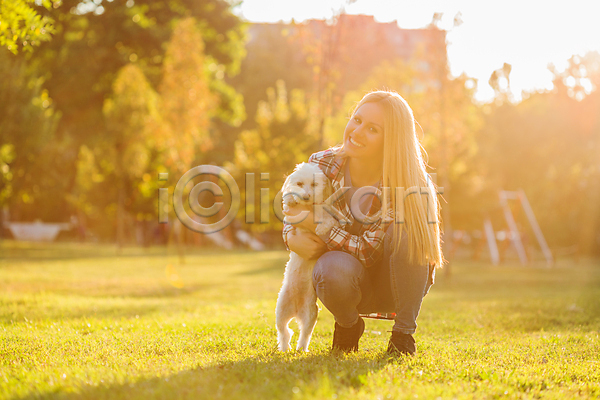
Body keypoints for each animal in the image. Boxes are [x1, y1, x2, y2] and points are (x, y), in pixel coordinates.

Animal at [276, 161, 338, 352]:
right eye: (299, 184)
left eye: (314, 184)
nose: (304, 196)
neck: (309, 206)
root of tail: (295, 309)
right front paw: (290, 198)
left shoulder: (327, 213)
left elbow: (328, 219)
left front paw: (322, 227)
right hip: (281, 309)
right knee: (284, 331)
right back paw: (285, 347)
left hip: (311, 314)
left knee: (304, 334)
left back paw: (301, 348)